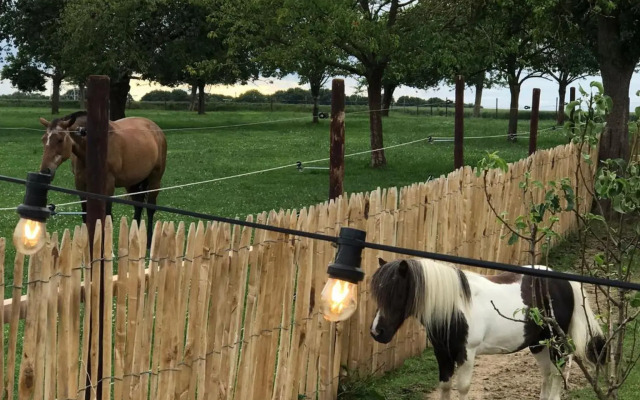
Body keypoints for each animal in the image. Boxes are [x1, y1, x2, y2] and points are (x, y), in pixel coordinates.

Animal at [38, 111, 167, 246]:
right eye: (43, 139)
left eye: (60, 139)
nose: (45, 171)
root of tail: (156, 128)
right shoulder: (80, 185)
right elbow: (86, 215)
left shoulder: (108, 185)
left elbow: (107, 216)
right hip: (132, 183)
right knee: (138, 206)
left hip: (155, 180)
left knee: (150, 208)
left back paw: (149, 241)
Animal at [370, 258, 606, 400]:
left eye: (397, 293)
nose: (377, 332)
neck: (455, 306)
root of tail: (565, 281)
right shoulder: (442, 354)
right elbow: (445, 387)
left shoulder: (467, 354)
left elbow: (463, 388)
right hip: (538, 344)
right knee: (547, 374)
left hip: (556, 342)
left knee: (557, 374)